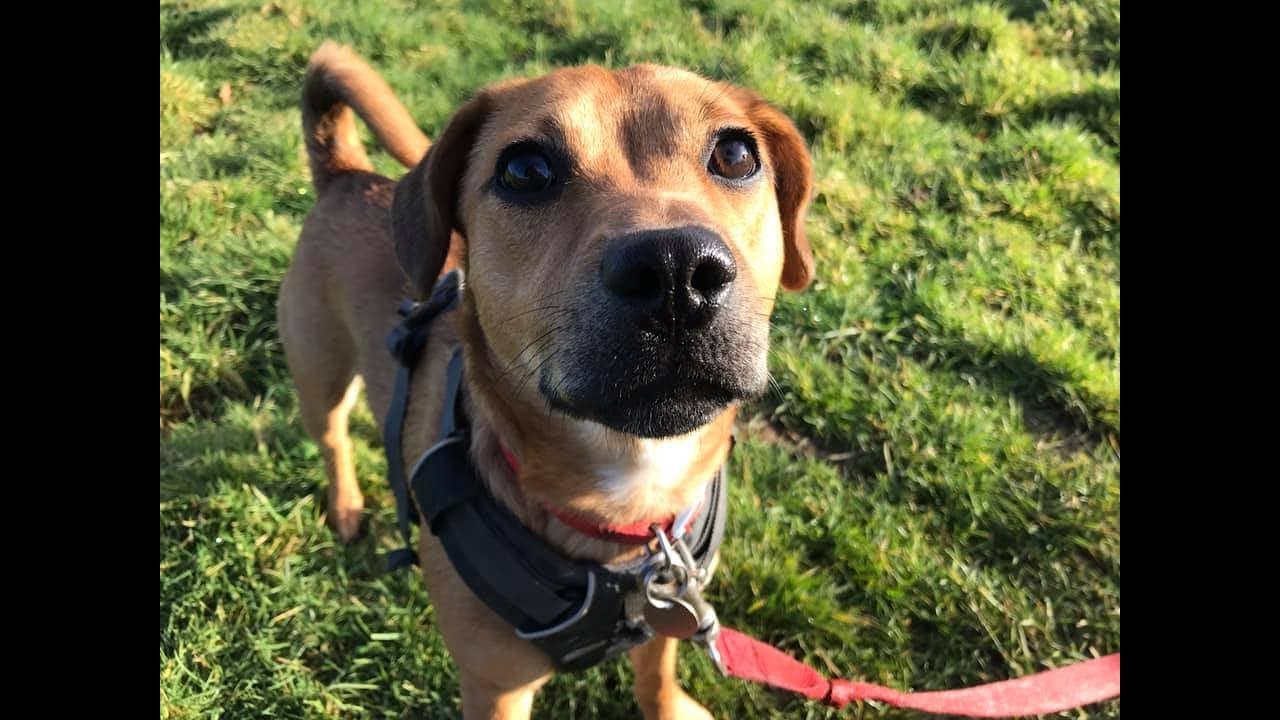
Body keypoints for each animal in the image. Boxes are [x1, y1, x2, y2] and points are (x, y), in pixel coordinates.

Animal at [279, 43, 814, 717]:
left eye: (737, 154)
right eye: (526, 170)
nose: (675, 269)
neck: (632, 502)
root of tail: (347, 175)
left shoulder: (673, 607)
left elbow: (657, 671)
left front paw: (669, 706)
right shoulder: (494, 688)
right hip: (319, 375)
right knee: (334, 441)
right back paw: (347, 505)